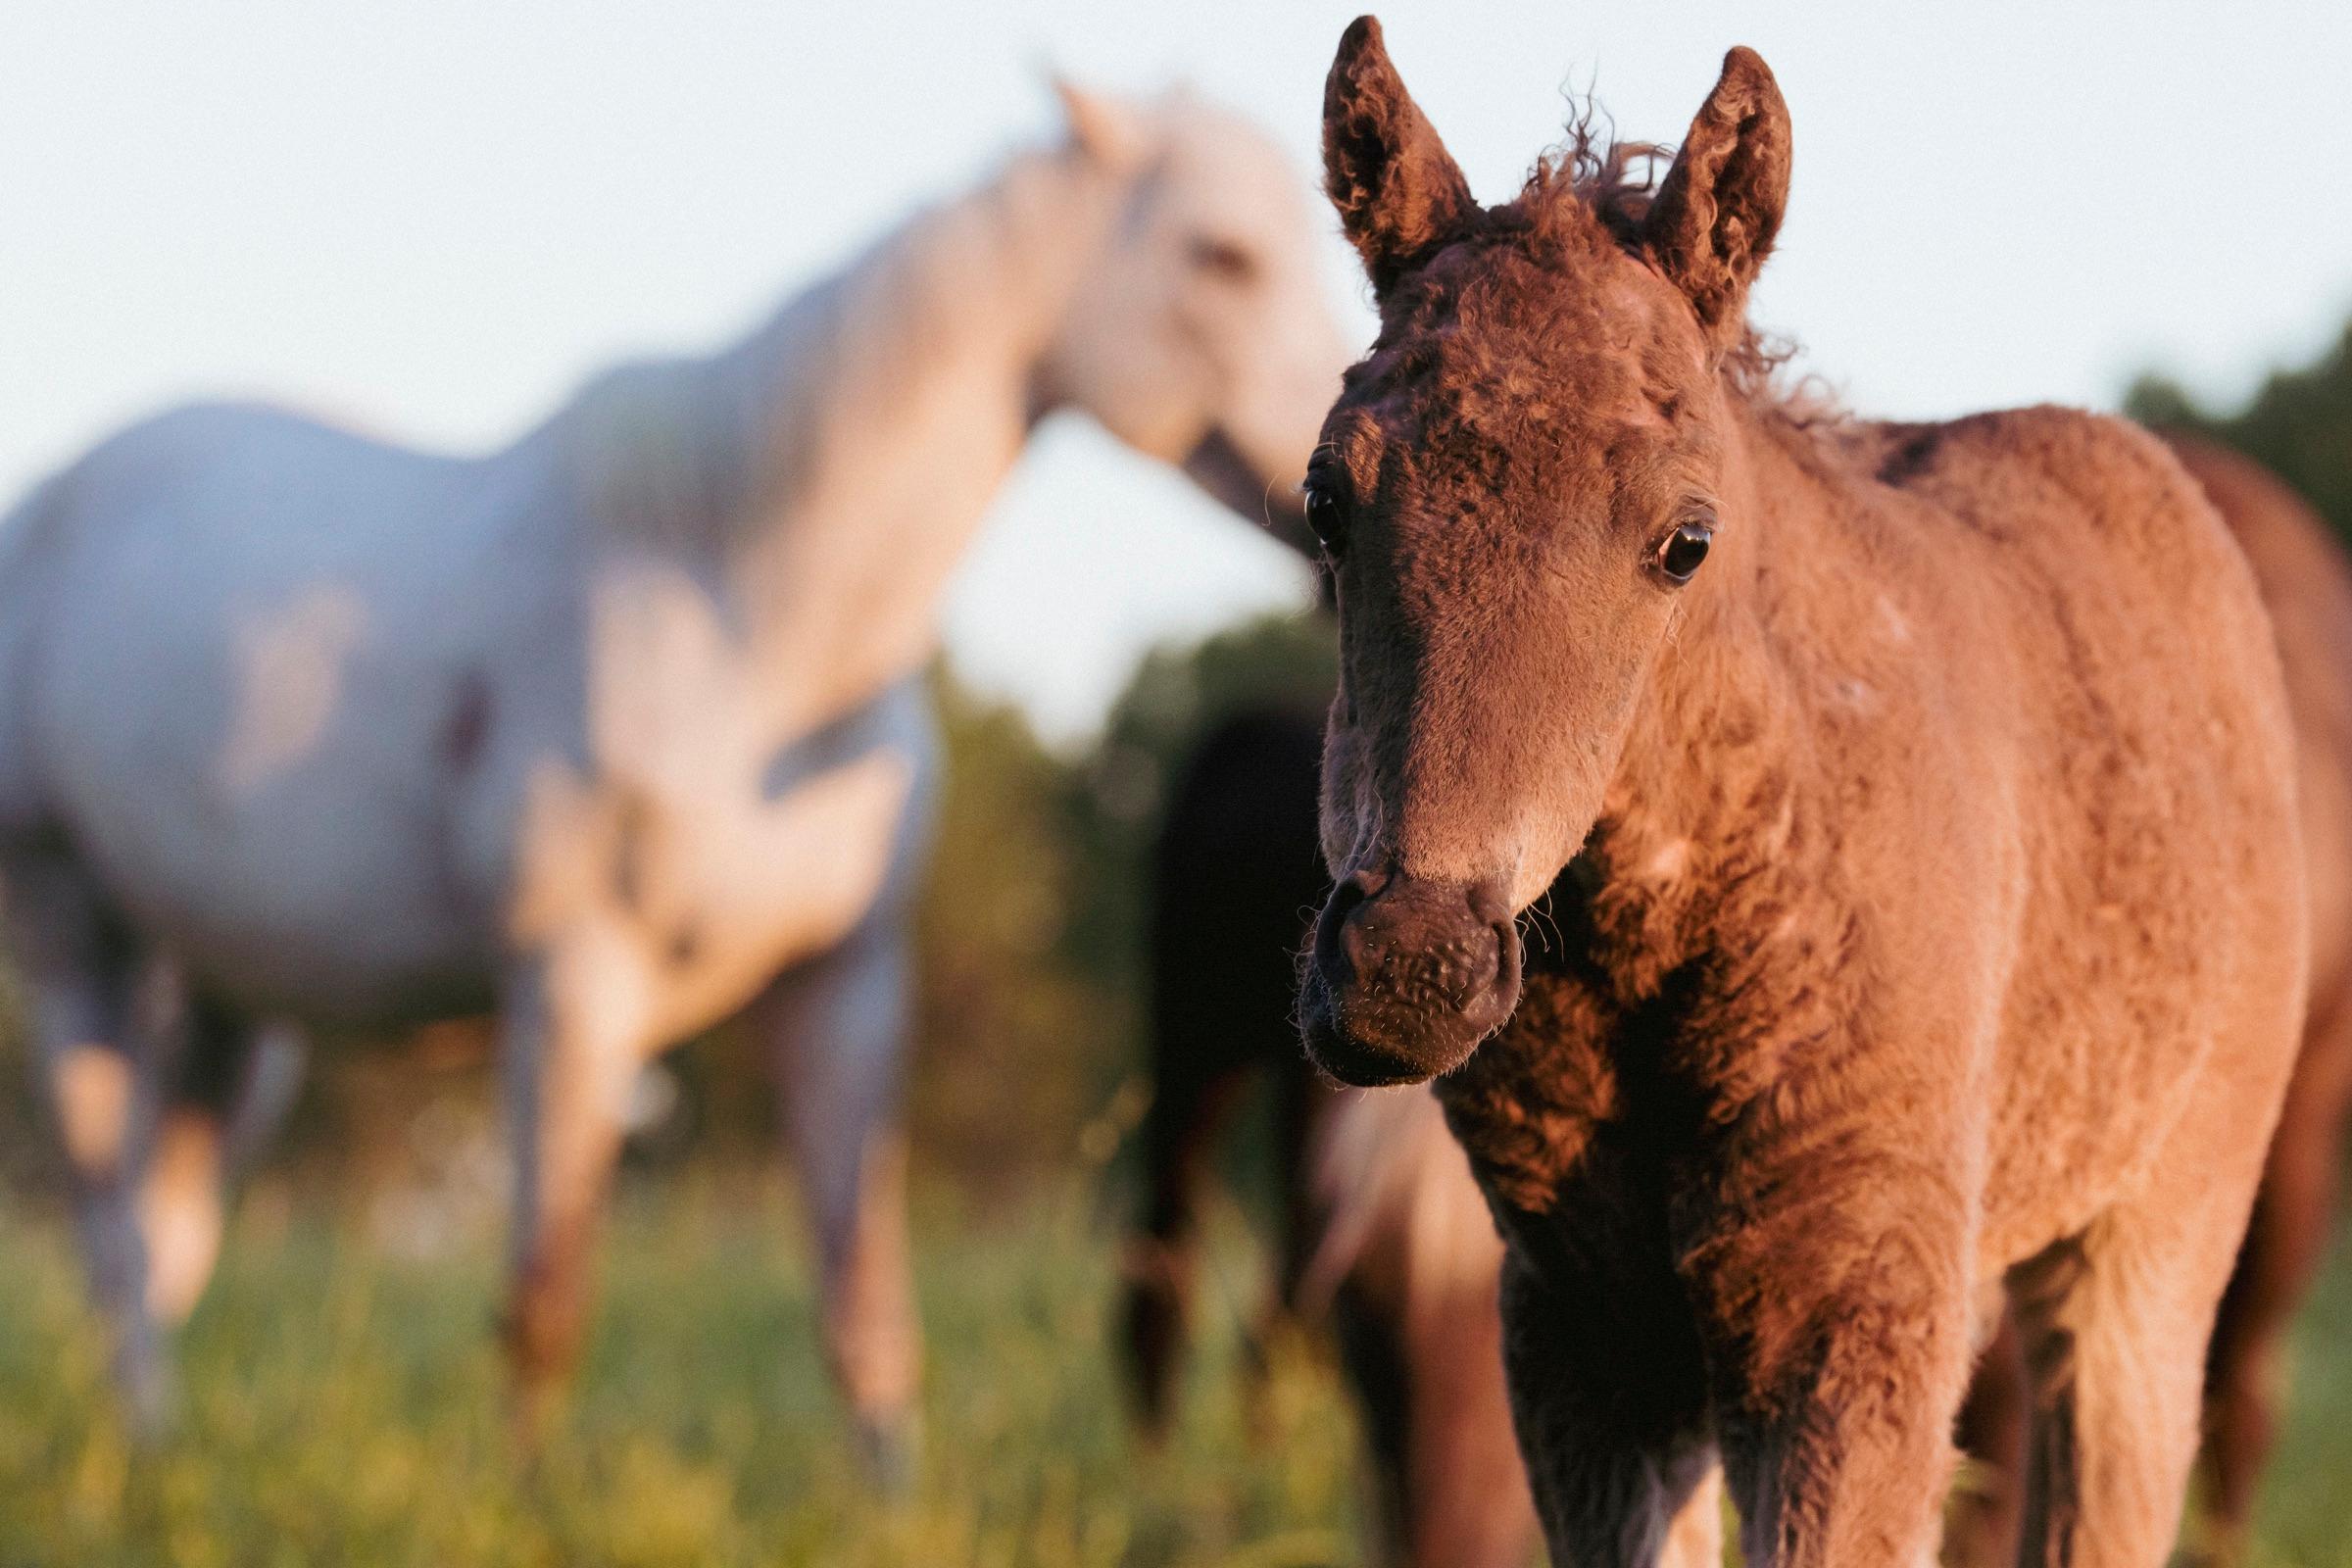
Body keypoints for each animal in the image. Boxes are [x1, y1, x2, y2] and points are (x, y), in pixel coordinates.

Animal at [0, 80, 1349, 1466]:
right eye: (1222, 255)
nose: (1327, 468)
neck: (743, 617)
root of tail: (52, 504)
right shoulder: (573, 983)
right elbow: (546, 1301)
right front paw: (523, 1496)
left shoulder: (846, 989)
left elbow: (864, 1307)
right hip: (76, 937)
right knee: (111, 1230)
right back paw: (141, 1461)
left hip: (235, 1004)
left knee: (169, 1228)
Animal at [1294, 20, 2307, 1568]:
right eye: (1325, 503)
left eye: (1684, 540)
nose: (1407, 965)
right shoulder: (1587, 1342)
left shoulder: (1852, 1316)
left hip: (2149, 1243)